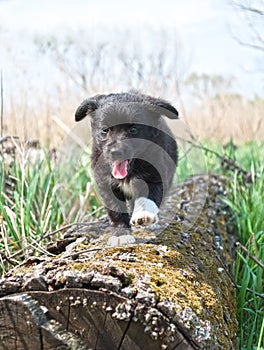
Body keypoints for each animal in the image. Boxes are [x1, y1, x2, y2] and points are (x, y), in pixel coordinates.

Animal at [74, 91, 178, 243]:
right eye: (105, 130)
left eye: (133, 129)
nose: (116, 152)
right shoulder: (105, 182)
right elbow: (115, 209)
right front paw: (121, 234)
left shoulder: (156, 175)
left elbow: (149, 197)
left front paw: (143, 215)